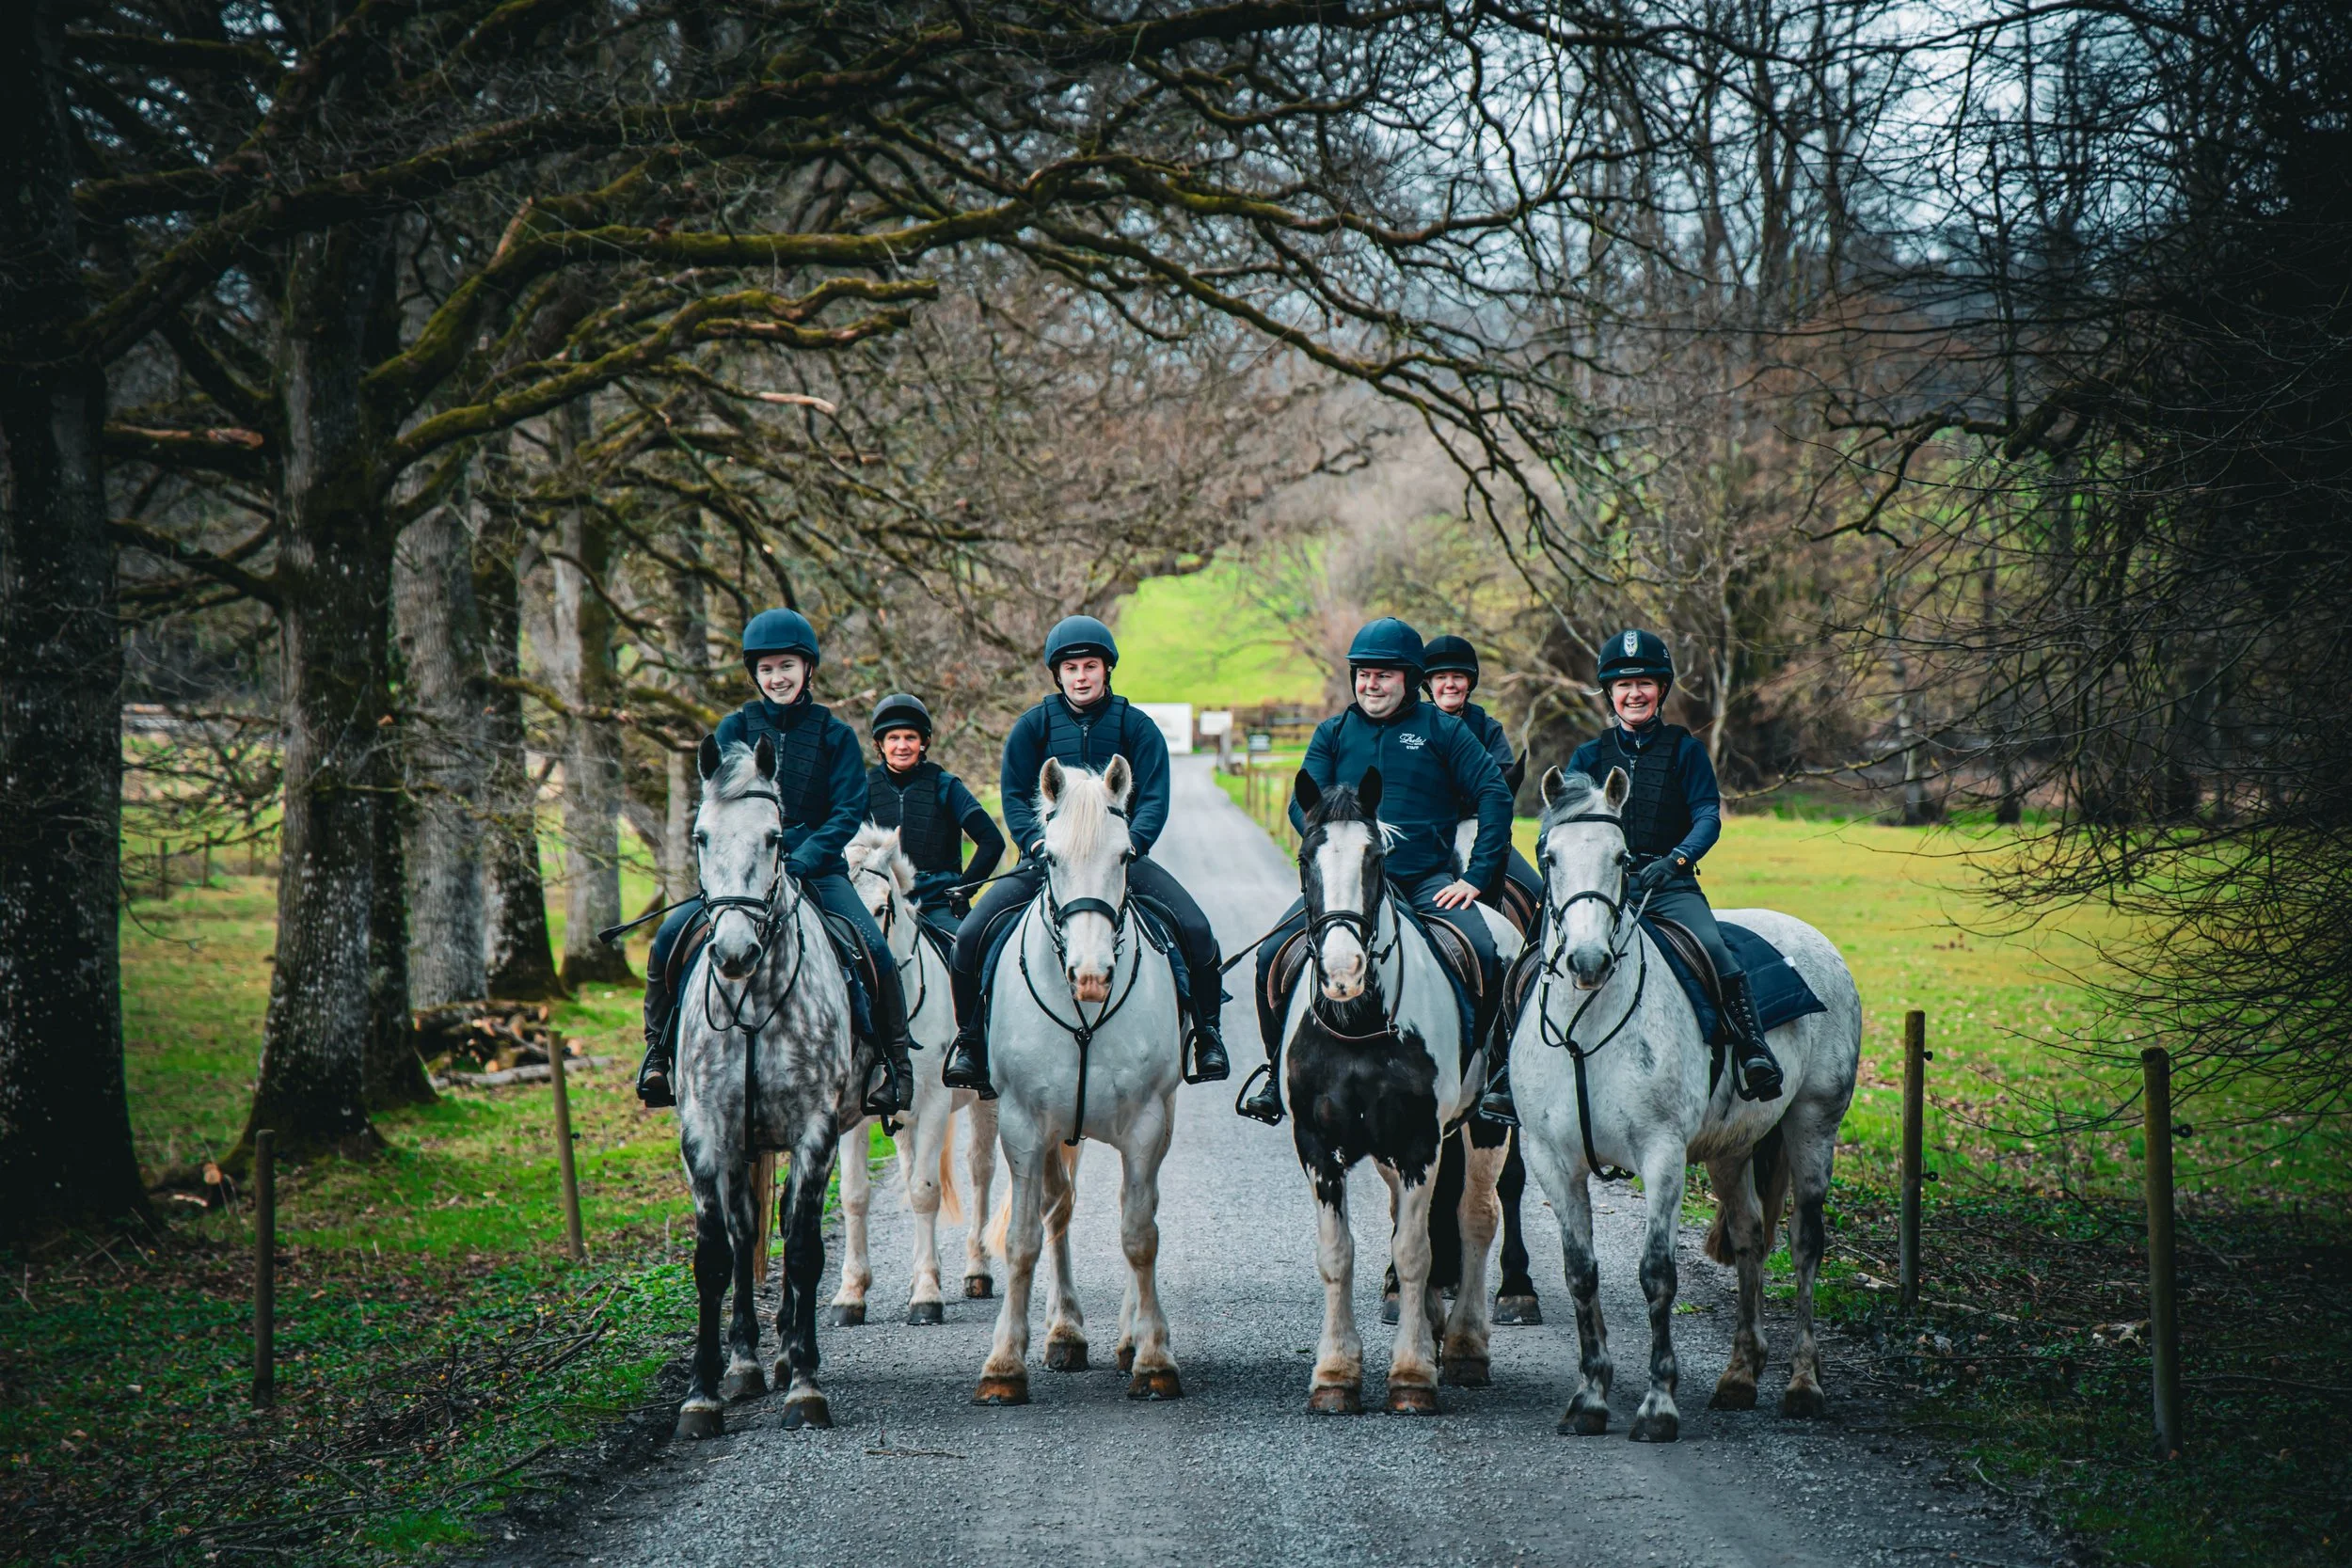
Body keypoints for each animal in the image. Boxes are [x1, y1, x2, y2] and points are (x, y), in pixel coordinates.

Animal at [671, 734, 865, 1438]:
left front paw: (804, 1383)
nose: (733, 954)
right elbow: (714, 1255)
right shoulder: (705, 1133)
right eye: (701, 836)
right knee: (748, 1232)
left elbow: (804, 1250)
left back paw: (784, 1355)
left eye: (775, 837)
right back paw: (748, 1361)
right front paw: (702, 1394)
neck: (751, 1003)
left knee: (789, 1227)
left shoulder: (815, 1130)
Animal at [835, 824, 1000, 1326]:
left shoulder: (933, 1105)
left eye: (882, 906)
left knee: (980, 1170)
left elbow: (926, 1192)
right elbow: (854, 1195)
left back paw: (977, 1271)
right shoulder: (855, 1115)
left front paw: (927, 1295)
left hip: (985, 1102)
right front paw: (850, 1294)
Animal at [973, 755, 1187, 1405]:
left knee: (1132, 1210)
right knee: (1058, 1210)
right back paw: (1064, 1331)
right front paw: (1004, 1365)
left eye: (1125, 856)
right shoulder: (1023, 1125)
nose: (1091, 976)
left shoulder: (1146, 1124)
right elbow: (1023, 1239)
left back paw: (1127, 1338)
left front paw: (1153, 1357)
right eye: (1050, 858)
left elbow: (1140, 1234)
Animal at [1282, 767, 1525, 1414]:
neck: (1357, 1023)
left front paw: (1413, 1374)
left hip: (1484, 1126)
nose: (1343, 973)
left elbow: (1417, 1250)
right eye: (1306, 858)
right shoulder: (1318, 1146)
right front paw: (1335, 1374)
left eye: (1376, 859)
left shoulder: (1420, 1141)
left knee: (1475, 1218)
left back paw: (1464, 1345)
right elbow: (1339, 1253)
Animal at [1509, 766, 1861, 1441]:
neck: (1587, 1025)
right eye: (1549, 857)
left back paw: (1804, 1384)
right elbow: (1580, 1271)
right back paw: (1739, 1377)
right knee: (1750, 1237)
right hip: (1732, 1150)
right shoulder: (1552, 1159)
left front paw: (1658, 1404)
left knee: (1805, 1243)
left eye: (1623, 859)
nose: (1587, 961)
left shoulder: (1661, 1153)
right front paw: (1590, 1398)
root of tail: (1811, 939)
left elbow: (1657, 1273)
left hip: (1813, 1127)